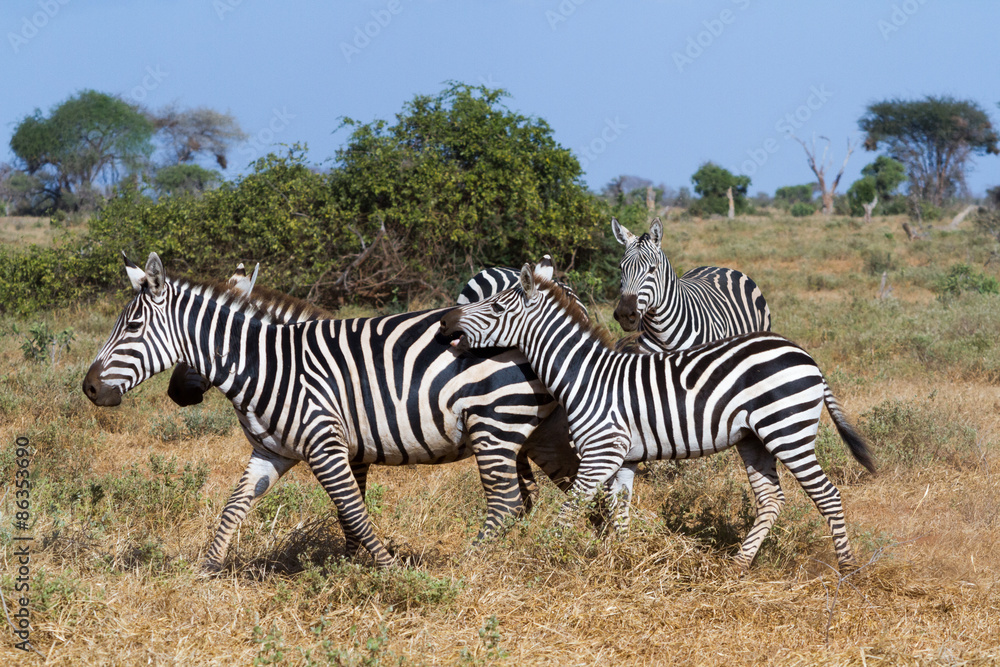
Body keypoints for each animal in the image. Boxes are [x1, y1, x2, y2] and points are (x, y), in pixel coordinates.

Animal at [83, 252, 579, 570]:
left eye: (132, 326)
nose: (89, 388)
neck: (267, 364)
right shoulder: (274, 451)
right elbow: (235, 507)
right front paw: (207, 571)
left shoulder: (328, 445)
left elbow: (353, 512)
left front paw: (387, 570)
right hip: (543, 431)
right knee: (574, 483)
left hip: (495, 424)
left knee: (508, 502)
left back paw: (474, 563)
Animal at [439, 258, 876, 572]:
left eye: (496, 305)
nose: (445, 321)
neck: (585, 377)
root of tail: (805, 356)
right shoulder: (623, 458)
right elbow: (619, 512)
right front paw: (621, 561)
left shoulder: (601, 452)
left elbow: (570, 511)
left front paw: (544, 559)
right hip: (754, 438)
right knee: (770, 500)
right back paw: (737, 566)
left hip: (788, 431)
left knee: (828, 495)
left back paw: (847, 570)